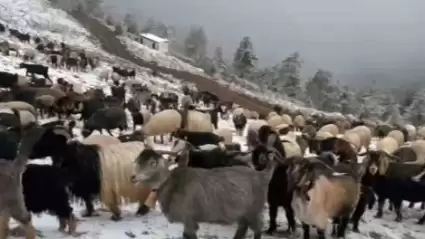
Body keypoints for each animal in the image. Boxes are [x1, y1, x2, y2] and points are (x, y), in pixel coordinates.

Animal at [132, 139, 284, 238]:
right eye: (137, 161)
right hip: (242, 213)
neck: (172, 183)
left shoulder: (189, 219)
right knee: (242, 228)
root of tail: (263, 174)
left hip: (254, 211)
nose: (133, 177)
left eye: (153, 163)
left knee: (257, 230)